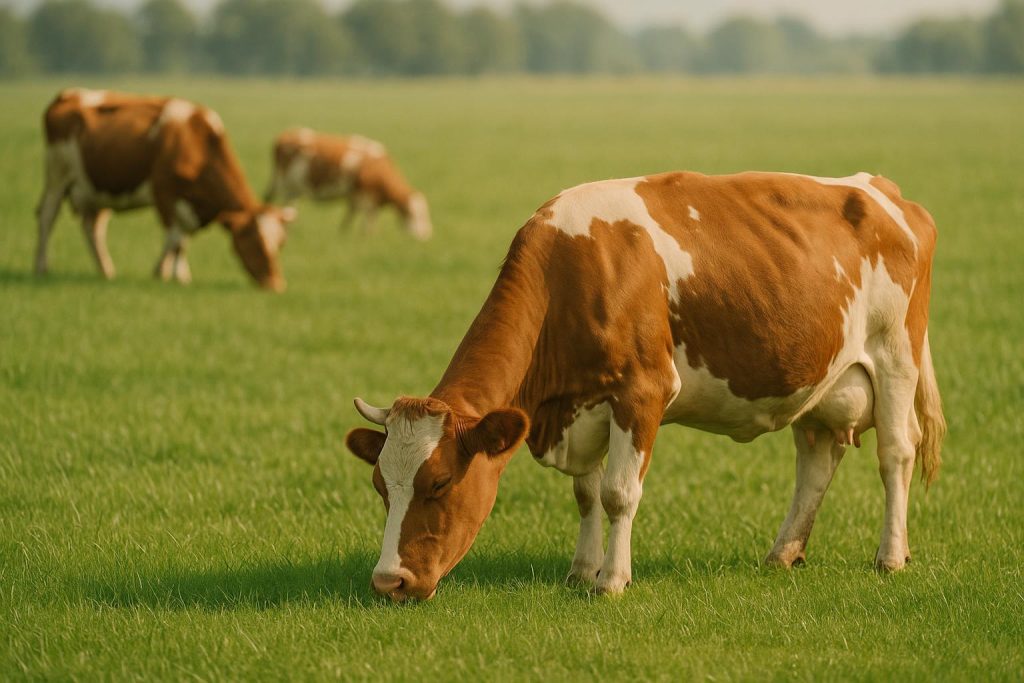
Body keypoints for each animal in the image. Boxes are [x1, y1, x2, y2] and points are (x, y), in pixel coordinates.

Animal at [34, 88, 295, 291]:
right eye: (255, 242)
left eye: (281, 244)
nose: (276, 285)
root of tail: (67, 94)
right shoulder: (164, 193)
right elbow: (173, 238)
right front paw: (161, 272)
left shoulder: (188, 203)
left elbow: (183, 240)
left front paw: (181, 277)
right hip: (57, 175)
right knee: (47, 216)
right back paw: (41, 267)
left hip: (96, 190)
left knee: (93, 228)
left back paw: (106, 271)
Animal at [265, 128, 432, 241]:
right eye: (414, 214)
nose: (426, 235)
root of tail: (285, 134)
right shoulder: (366, 196)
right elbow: (369, 217)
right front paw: (369, 236)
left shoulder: (356, 195)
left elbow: (351, 214)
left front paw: (343, 232)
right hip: (286, 185)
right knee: (286, 206)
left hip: (293, 189)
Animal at [345, 170, 946, 602]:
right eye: (380, 486)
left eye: (441, 483)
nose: (389, 582)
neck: (570, 271)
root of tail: (881, 189)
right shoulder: (583, 404)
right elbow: (586, 494)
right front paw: (581, 571)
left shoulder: (642, 391)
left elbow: (617, 492)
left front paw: (612, 581)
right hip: (820, 380)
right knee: (817, 460)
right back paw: (783, 553)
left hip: (895, 355)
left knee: (896, 454)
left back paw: (890, 556)